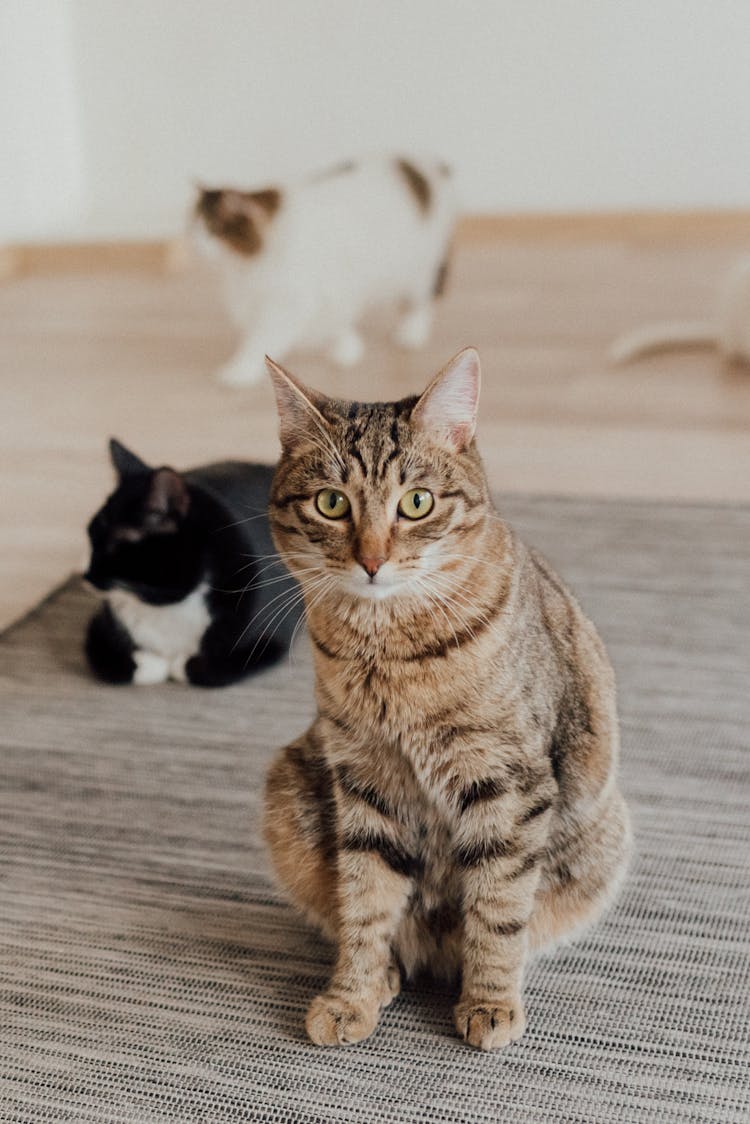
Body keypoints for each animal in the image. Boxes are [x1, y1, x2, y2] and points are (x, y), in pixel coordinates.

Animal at [84, 438, 301, 683]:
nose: (86, 576)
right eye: (90, 534)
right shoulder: (98, 630)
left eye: (116, 544)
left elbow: (200, 669)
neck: (165, 602)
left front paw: (177, 665)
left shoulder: (271, 640)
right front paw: (153, 664)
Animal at [191, 155, 454, 386]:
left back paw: (411, 334)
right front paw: (347, 348)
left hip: (420, 267)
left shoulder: (290, 300)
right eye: (193, 225)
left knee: (421, 300)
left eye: (212, 230)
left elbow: (261, 339)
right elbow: (338, 322)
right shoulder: (331, 291)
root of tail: (431, 164)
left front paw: (239, 370)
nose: (195, 244)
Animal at [260, 346, 629, 1047]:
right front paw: (351, 994)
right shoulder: (365, 778)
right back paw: (387, 973)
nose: (372, 559)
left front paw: (489, 1002)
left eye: (417, 502)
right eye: (331, 503)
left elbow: (498, 907)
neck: (387, 647)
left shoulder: (507, 782)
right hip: (288, 788)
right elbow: (365, 902)